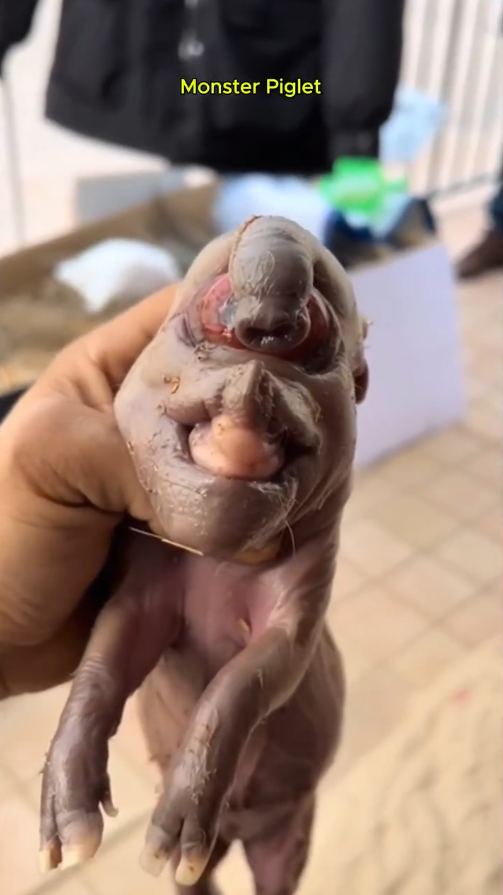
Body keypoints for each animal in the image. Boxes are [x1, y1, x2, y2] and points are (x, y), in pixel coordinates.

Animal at [39, 216, 369, 895]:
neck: (222, 562)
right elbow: (107, 656)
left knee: (278, 871)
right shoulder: (146, 579)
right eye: (210, 305)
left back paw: (191, 856)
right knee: (198, 883)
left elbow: (256, 672)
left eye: (323, 326)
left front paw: (165, 844)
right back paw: (185, 868)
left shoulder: (308, 592)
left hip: (291, 826)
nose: (281, 234)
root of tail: (237, 834)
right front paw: (72, 842)